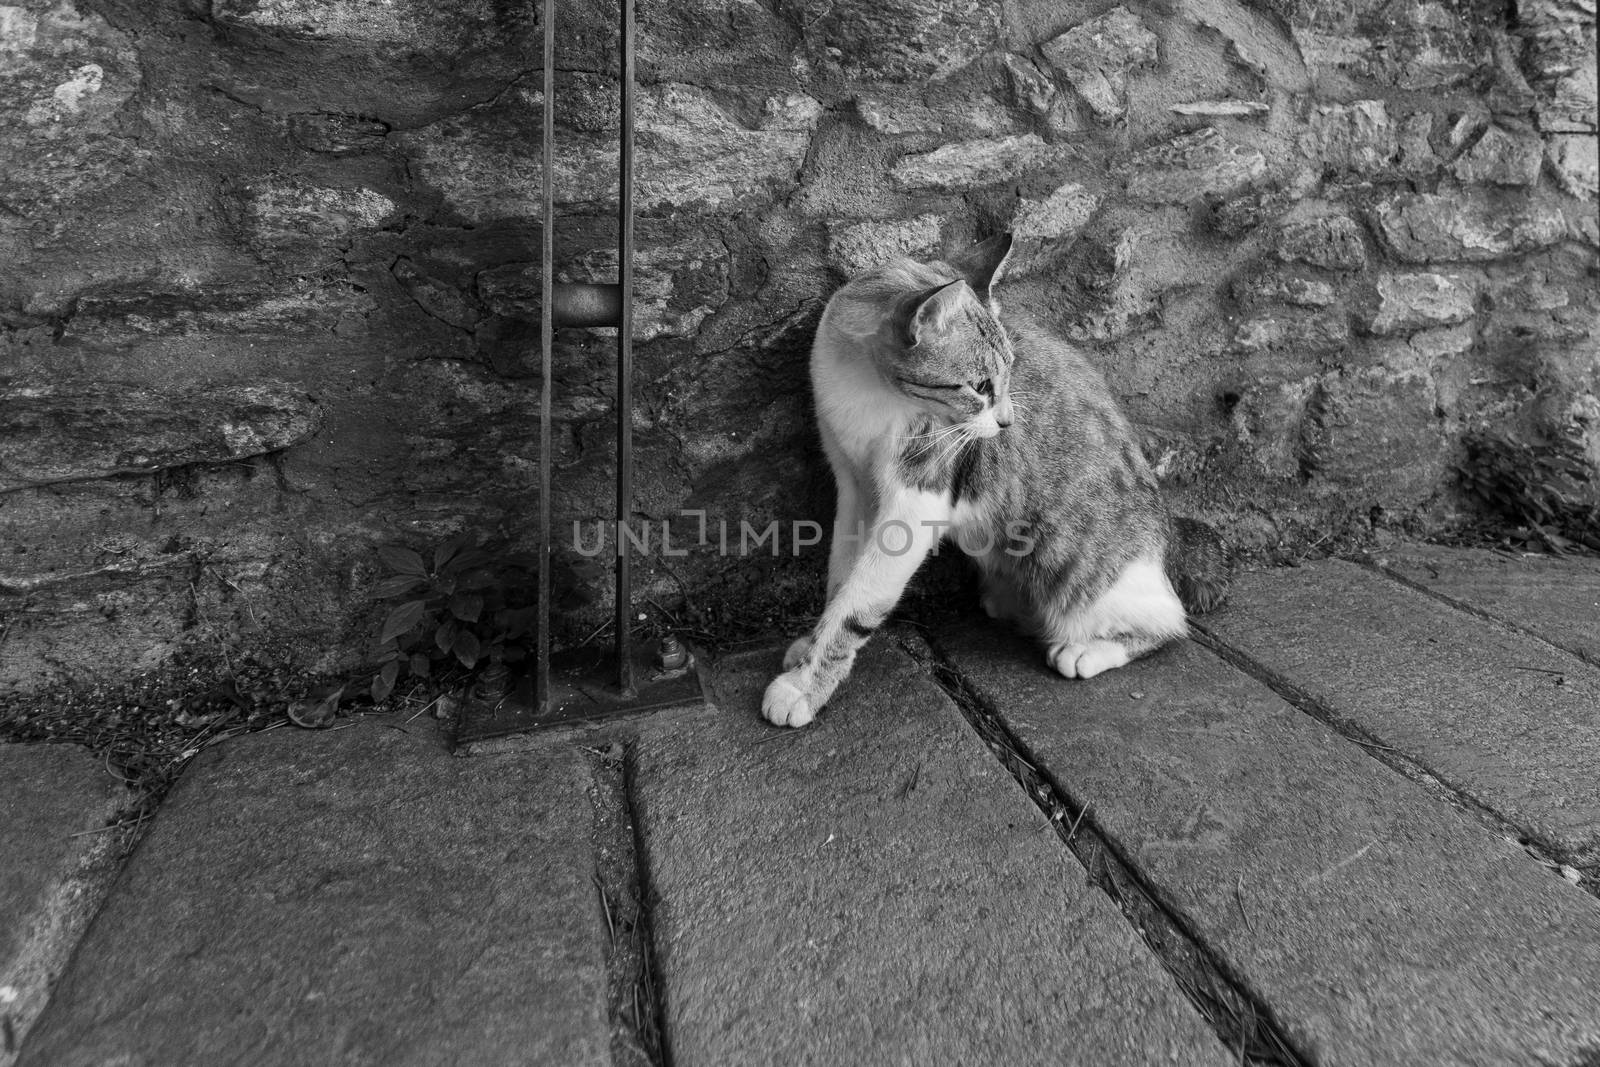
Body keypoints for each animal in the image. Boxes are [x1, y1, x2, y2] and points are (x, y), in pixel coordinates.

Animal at [758, 233, 1222, 729]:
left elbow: (859, 604)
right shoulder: (854, 486)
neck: (865, 388)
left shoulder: (917, 500)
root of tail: (1170, 536)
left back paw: (1087, 650)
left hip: (1075, 562)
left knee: (1168, 619)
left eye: (1009, 372)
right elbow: (841, 578)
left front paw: (806, 686)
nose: (1006, 421)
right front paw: (811, 647)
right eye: (979, 386)